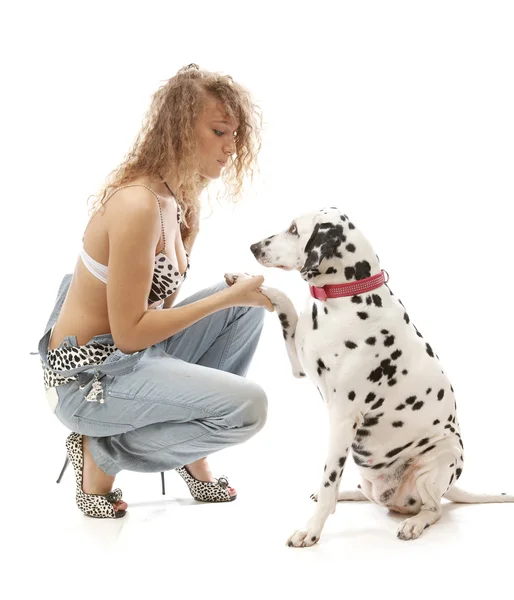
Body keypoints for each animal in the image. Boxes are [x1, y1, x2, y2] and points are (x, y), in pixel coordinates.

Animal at [225, 207, 512, 548]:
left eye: (294, 229)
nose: (254, 247)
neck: (345, 296)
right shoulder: (300, 364)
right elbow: (286, 303)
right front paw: (244, 281)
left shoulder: (342, 419)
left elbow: (328, 479)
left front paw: (311, 530)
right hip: (372, 479)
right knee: (367, 494)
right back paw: (349, 494)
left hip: (441, 458)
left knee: (434, 509)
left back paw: (414, 523)